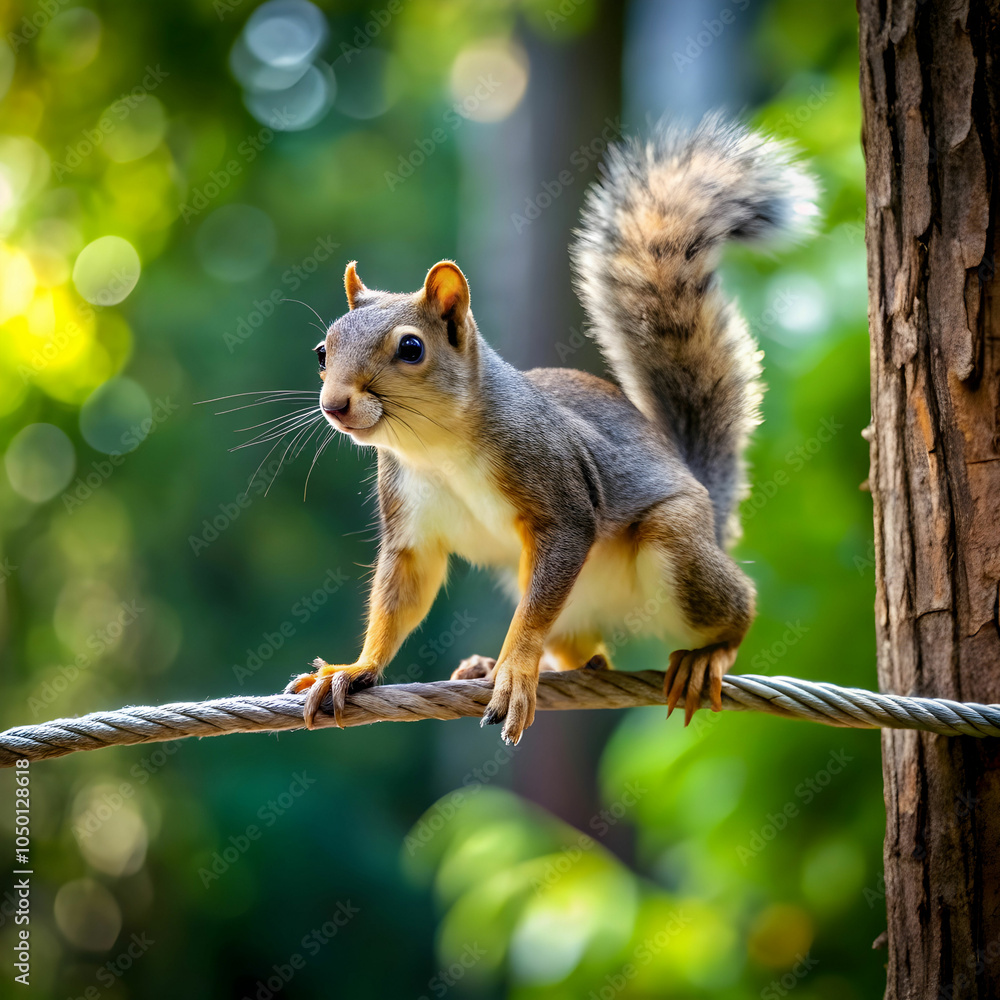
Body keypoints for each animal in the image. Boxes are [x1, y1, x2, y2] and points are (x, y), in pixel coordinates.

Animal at [283, 114, 818, 745]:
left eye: (411, 348)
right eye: (322, 353)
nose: (335, 405)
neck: (436, 447)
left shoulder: (556, 489)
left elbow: (543, 589)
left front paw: (516, 669)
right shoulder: (410, 519)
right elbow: (401, 596)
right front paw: (356, 669)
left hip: (677, 546)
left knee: (733, 605)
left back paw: (707, 654)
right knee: (583, 650)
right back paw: (509, 664)